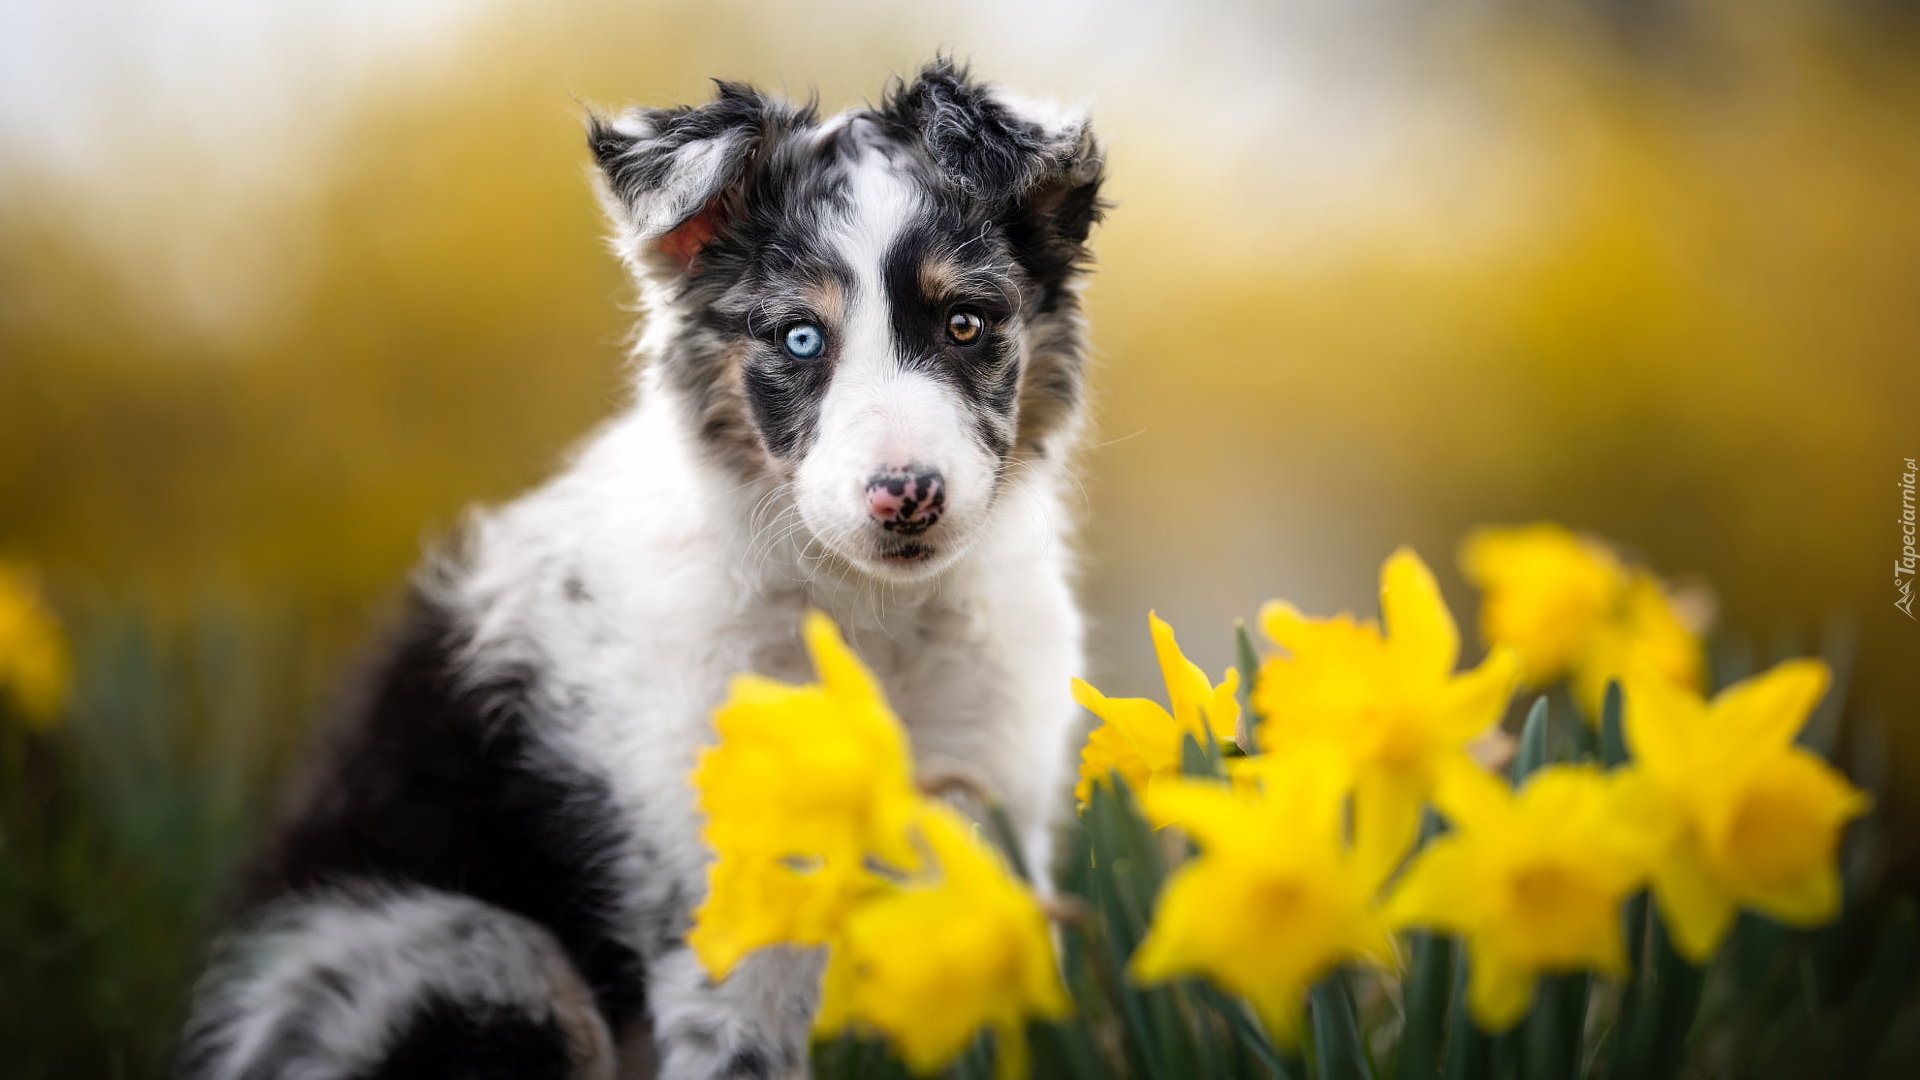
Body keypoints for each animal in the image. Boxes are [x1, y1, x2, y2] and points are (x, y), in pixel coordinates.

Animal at [180, 61, 1113, 1076]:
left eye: (965, 325)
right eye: (800, 339)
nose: (905, 497)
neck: (868, 620)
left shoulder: (987, 833)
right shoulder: (734, 910)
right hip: (462, 960)